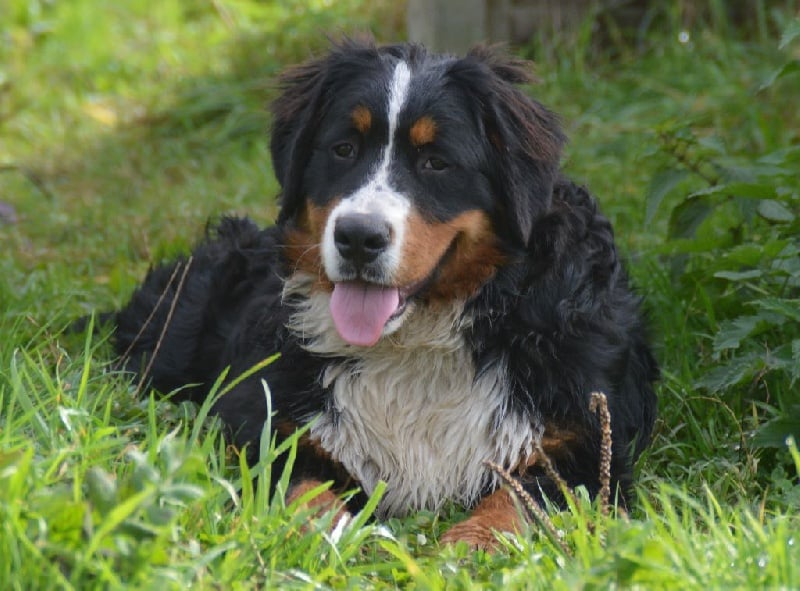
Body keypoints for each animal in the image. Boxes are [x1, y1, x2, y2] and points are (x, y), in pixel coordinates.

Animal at [114, 39, 664, 552]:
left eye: (436, 162)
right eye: (343, 149)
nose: (358, 236)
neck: (416, 346)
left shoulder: (585, 444)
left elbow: (522, 499)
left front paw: (472, 546)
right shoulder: (265, 418)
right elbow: (301, 485)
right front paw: (325, 535)